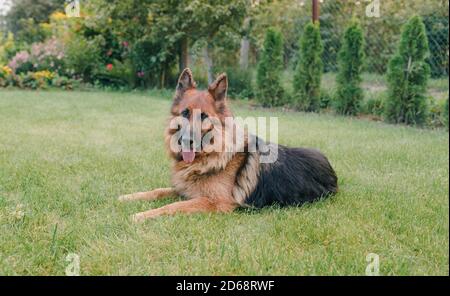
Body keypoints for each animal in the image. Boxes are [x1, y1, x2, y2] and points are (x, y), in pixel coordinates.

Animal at [119, 69, 338, 222]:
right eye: (185, 113)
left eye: (204, 116)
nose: (187, 141)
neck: (210, 157)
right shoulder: (186, 190)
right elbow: (158, 191)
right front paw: (128, 197)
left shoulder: (215, 202)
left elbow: (171, 207)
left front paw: (141, 215)